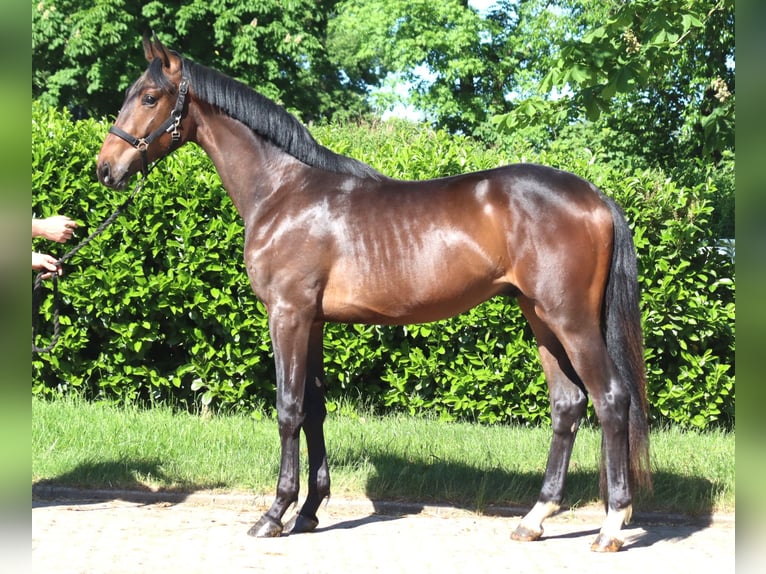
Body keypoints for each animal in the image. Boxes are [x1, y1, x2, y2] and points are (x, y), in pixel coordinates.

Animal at [97, 34, 651, 552]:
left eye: (149, 97)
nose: (106, 168)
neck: (282, 192)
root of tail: (595, 196)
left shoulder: (288, 315)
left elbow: (288, 410)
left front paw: (274, 514)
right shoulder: (313, 322)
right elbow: (314, 409)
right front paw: (309, 511)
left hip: (570, 320)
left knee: (610, 399)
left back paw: (611, 526)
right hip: (539, 317)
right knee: (567, 405)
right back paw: (534, 519)